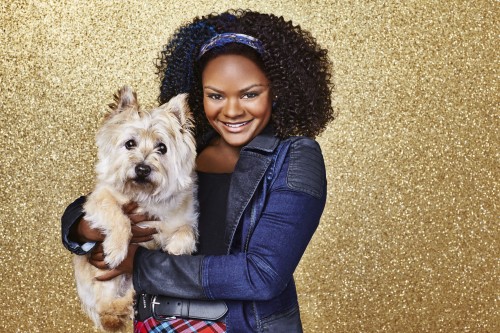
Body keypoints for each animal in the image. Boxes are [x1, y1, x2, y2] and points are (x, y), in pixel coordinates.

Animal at [73, 85, 198, 330]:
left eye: (162, 148)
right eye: (130, 143)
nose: (142, 168)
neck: (143, 195)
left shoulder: (184, 217)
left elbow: (186, 230)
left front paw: (176, 248)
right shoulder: (97, 200)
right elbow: (118, 216)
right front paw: (116, 249)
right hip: (107, 280)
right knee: (107, 310)